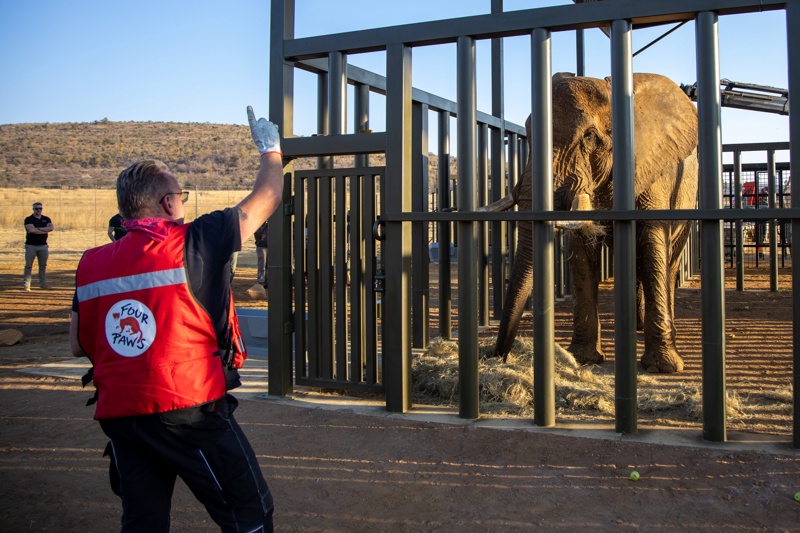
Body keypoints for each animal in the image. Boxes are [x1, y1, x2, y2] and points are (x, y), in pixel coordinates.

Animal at [484, 72, 696, 374]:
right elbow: (582, 255)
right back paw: (635, 326)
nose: (498, 356)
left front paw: (662, 366)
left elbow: (653, 245)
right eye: (528, 135)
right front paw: (583, 358)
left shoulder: (653, 170)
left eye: (590, 136)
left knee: (669, 262)